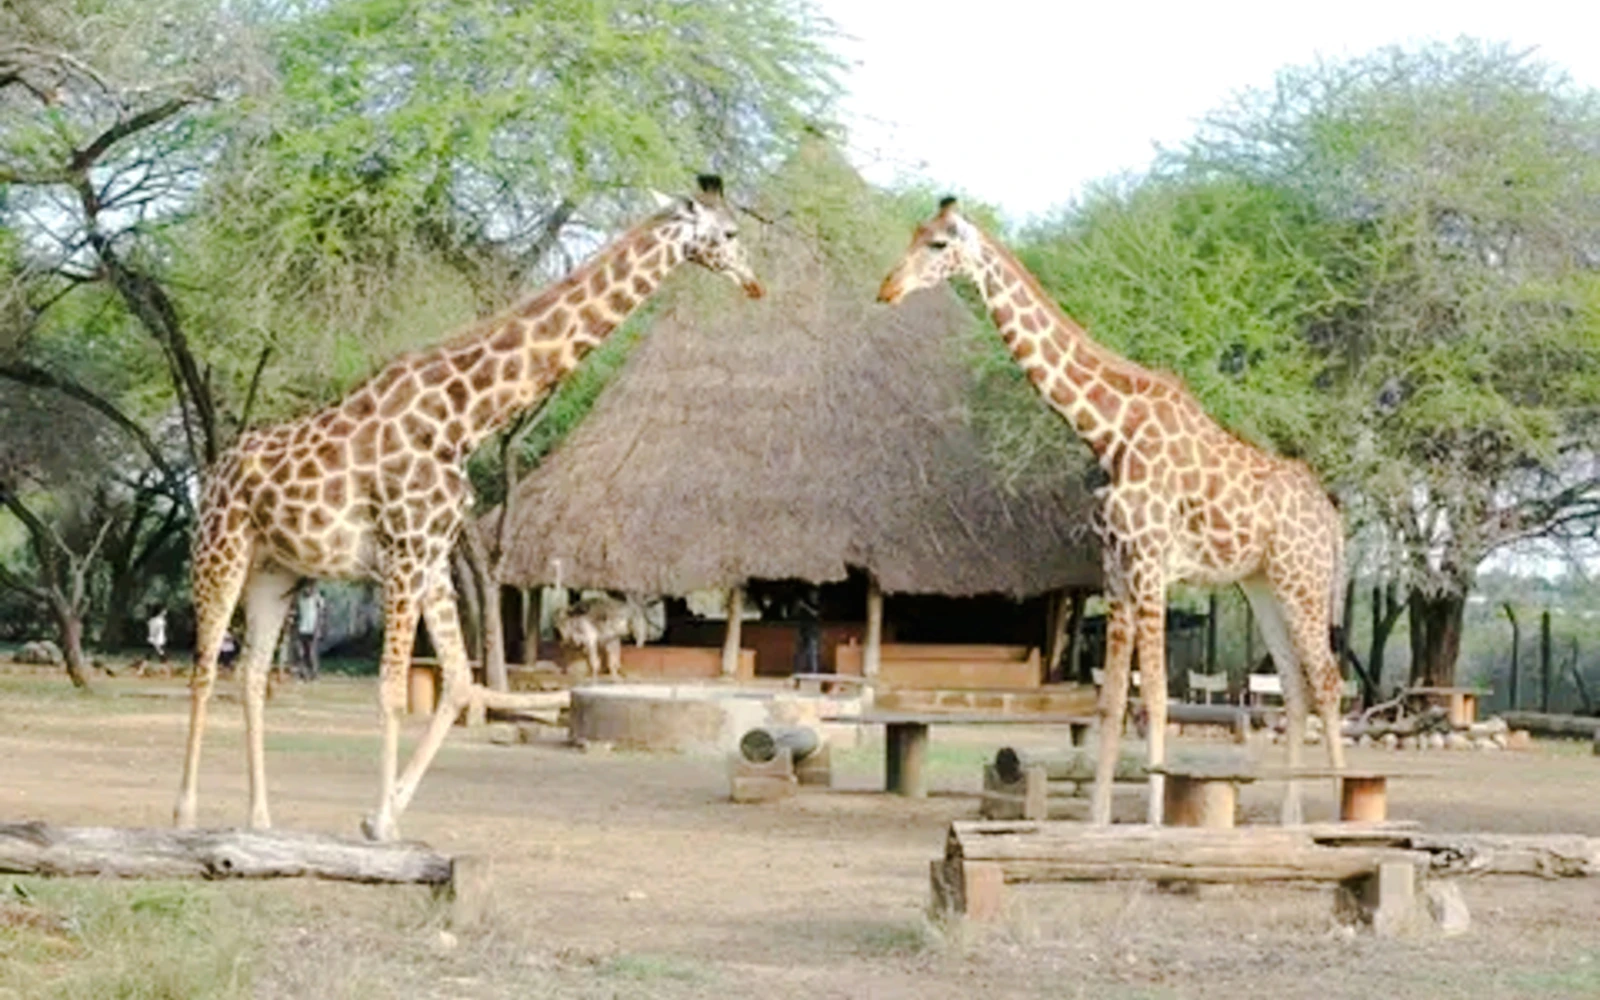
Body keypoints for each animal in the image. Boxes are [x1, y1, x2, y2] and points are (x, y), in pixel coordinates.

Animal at [176, 175, 762, 841]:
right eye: (729, 233)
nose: (754, 282)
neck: (464, 419)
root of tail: (214, 470)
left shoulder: (430, 556)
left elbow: (457, 683)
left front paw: (381, 815)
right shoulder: (405, 554)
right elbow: (392, 689)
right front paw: (383, 822)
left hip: (277, 572)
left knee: (249, 675)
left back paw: (260, 820)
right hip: (220, 554)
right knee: (204, 668)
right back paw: (186, 814)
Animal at [878, 198, 1346, 826]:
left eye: (937, 244)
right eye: (914, 234)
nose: (887, 288)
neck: (1106, 431)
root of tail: (1333, 518)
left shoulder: (1149, 564)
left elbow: (1155, 696)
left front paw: (1152, 818)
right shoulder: (1115, 568)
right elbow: (1111, 701)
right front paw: (1098, 817)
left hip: (1304, 581)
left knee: (1328, 680)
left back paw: (1351, 806)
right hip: (1263, 585)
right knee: (1295, 687)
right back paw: (1292, 818)